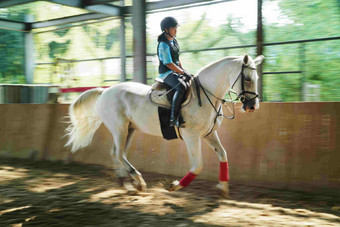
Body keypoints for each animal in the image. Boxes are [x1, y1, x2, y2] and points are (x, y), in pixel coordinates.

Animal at [65, 55, 264, 197]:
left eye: (256, 77)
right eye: (247, 78)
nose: (253, 106)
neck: (206, 94)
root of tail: (105, 91)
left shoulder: (208, 134)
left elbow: (223, 155)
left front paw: (222, 187)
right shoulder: (191, 135)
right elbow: (198, 166)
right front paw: (174, 186)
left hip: (129, 129)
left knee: (118, 153)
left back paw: (128, 184)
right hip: (119, 128)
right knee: (119, 153)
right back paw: (138, 181)